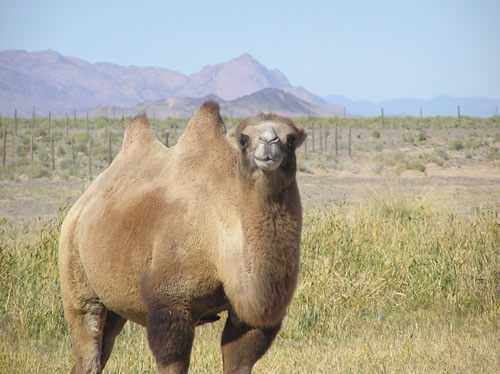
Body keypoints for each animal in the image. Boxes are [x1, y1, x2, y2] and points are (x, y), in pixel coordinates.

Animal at [58, 101, 304, 372]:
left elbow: (239, 359)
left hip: (114, 303)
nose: (269, 142)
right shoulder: (170, 302)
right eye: (243, 138)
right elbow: (172, 358)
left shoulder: (249, 318)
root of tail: (77, 210)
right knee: (87, 339)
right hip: (76, 278)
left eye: (291, 138)